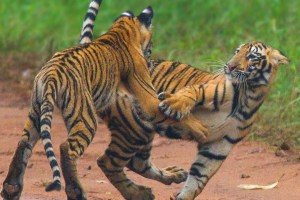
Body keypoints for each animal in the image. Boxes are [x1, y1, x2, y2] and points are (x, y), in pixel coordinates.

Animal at [0, 3, 209, 200]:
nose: (150, 63)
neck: (120, 31)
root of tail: (52, 74)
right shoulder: (148, 96)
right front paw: (200, 128)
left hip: (37, 109)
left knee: (24, 142)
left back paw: (11, 188)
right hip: (86, 116)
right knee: (71, 149)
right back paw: (78, 191)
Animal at [78, 1, 290, 200]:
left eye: (252, 56)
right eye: (236, 52)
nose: (229, 66)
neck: (249, 95)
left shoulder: (220, 145)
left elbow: (199, 178)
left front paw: (184, 195)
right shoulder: (207, 88)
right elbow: (190, 93)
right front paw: (171, 104)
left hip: (140, 132)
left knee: (136, 162)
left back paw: (170, 176)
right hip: (133, 128)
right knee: (107, 162)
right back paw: (138, 193)